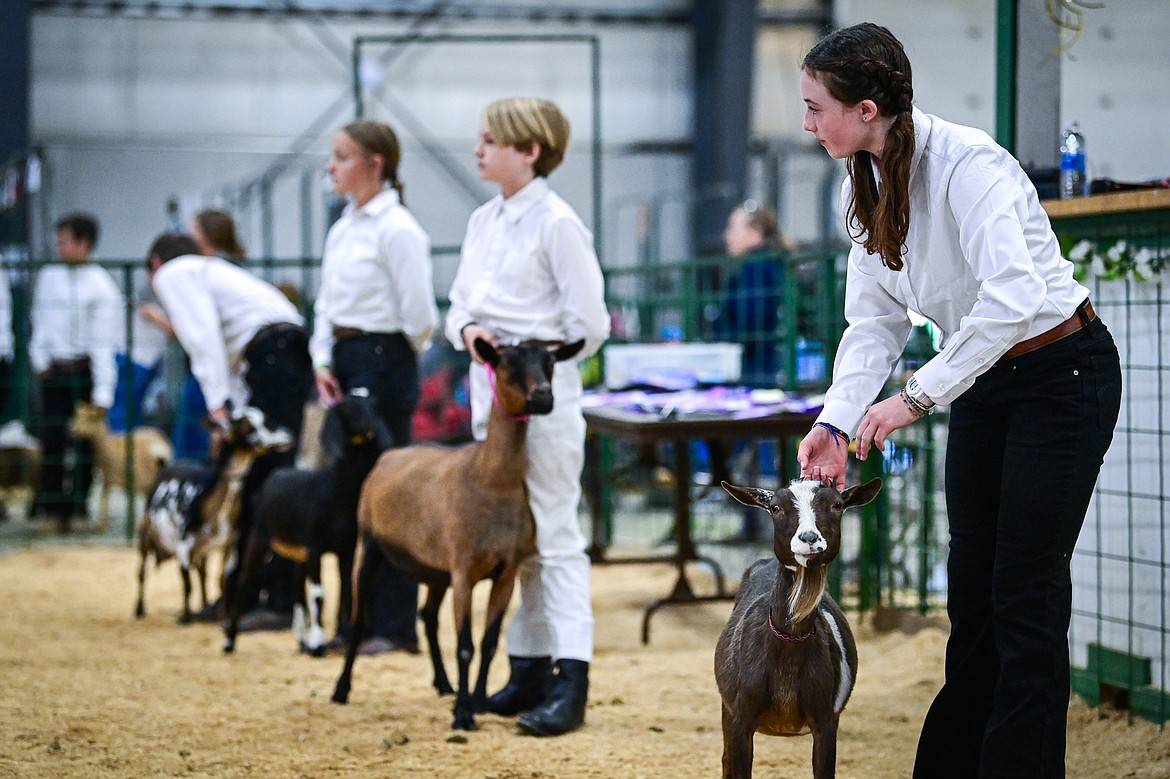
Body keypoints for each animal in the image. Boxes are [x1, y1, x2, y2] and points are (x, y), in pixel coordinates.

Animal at [221, 390, 395, 650]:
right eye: (350, 408)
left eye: (373, 404)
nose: (374, 427)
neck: (335, 490)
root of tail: (274, 476)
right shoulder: (315, 547)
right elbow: (319, 594)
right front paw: (318, 641)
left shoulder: (345, 551)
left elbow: (345, 594)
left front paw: (337, 638)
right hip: (259, 538)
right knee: (244, 582)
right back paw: (230, 640)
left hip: (298, 554)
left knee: (297, 589)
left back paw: (301, 637)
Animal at [329, 339, 585, 729]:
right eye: (507, 363)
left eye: (551, 363)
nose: (543, 396)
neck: (490, 478)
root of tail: (388, 455)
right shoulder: (464, 569)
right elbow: (465, 645)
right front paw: (463, 714)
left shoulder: (504, 571)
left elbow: (489, 643)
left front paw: (476, 701)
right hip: (368, 544)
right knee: (358, 621)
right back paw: (341, 690)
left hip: (435, 569)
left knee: (428, 617)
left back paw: (444, 684)